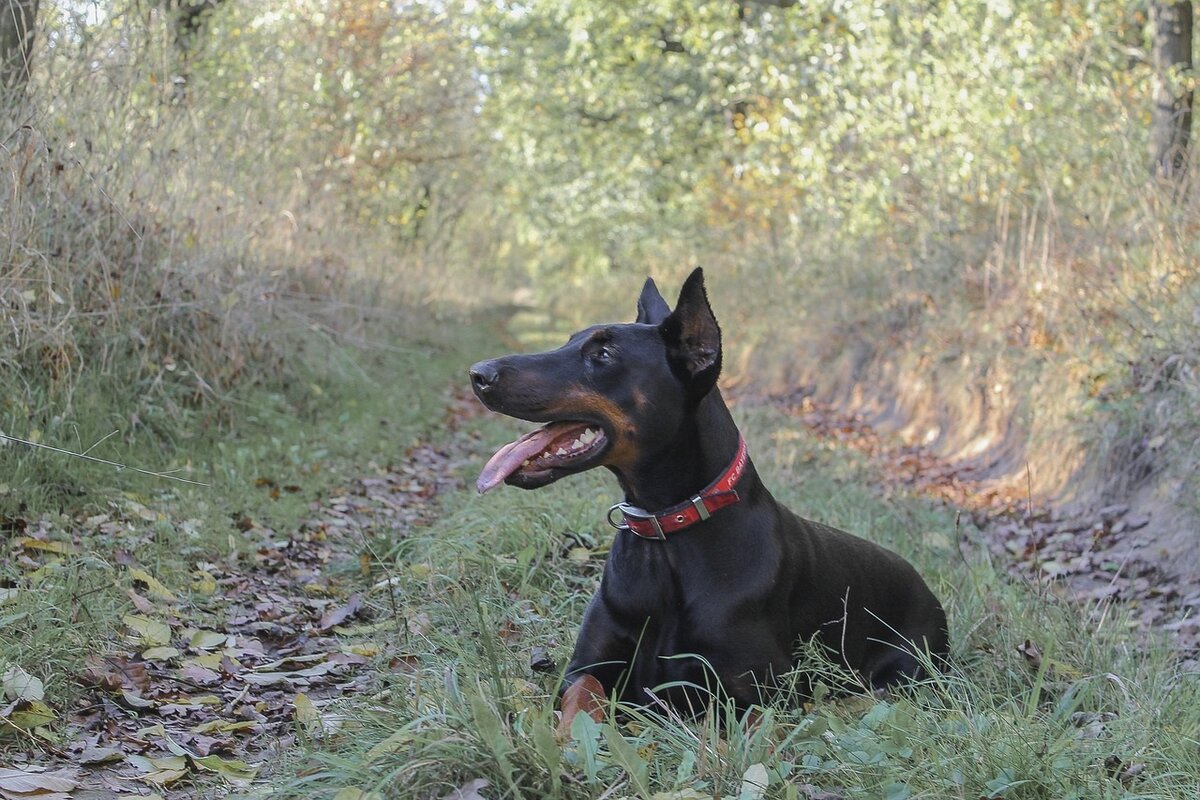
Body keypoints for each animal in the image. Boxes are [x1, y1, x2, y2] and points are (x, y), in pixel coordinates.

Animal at [468, 271, 945, 734]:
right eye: (570, 341)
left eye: (603, 354)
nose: (478, 373)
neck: (667, 532)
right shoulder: (586, 667)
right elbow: (584, 696)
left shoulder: (761, 693)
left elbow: (737, 732)